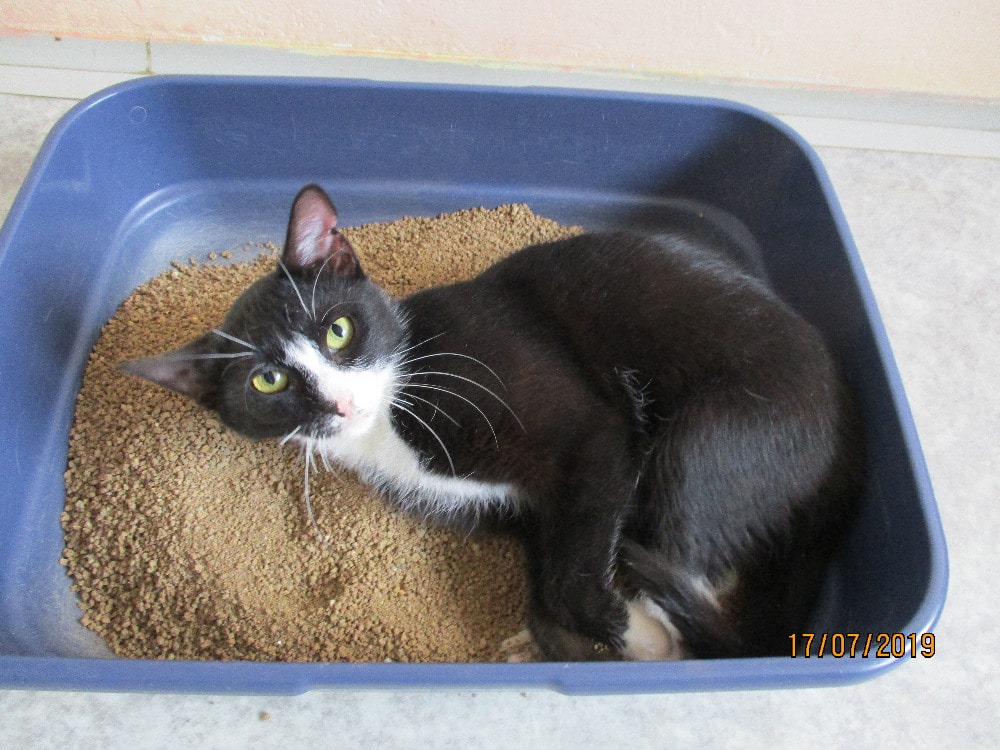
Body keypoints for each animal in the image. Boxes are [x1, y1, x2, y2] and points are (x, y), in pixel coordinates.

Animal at [121, 184, 862, 661]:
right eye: (267, 382)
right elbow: (550, 564)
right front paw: (559, 629)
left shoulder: (591, 433)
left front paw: (632, 634)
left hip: (716, 437)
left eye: (337, 329)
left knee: (695, 552)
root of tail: (848, 453)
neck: (390, 418)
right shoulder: (524, 509)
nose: (340, 404)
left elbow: (570, 573)